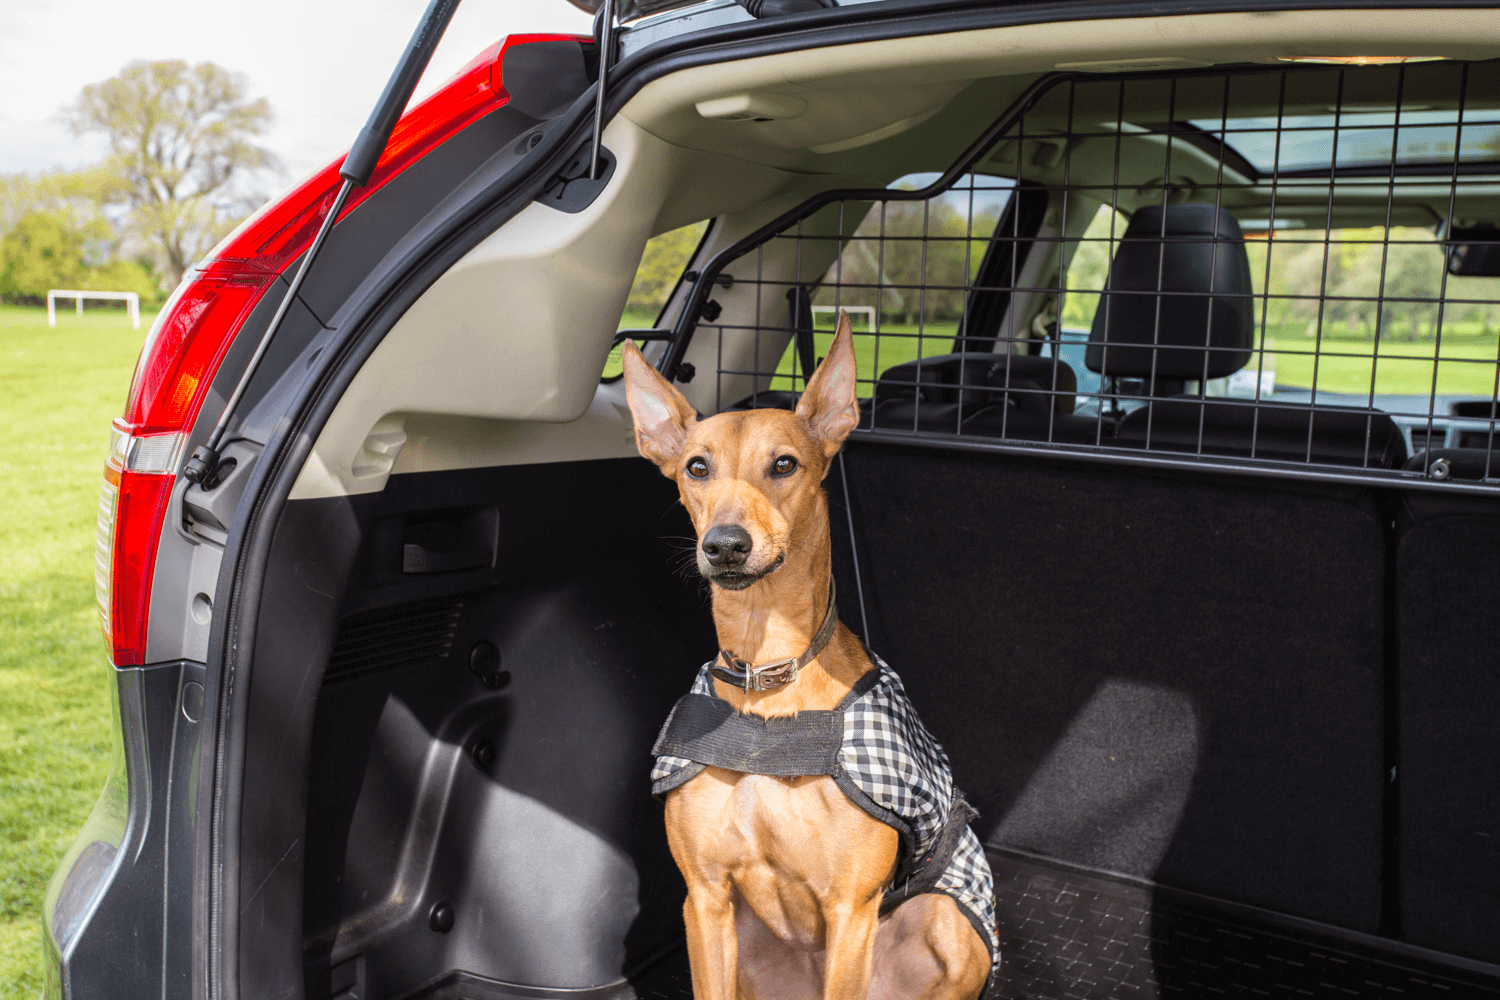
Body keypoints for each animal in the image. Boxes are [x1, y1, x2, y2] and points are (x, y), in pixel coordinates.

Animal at [621, 308, 996, 995]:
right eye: (696, 467)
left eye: (785, 464)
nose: (725, 545)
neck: (769, 674)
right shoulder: (704, 899)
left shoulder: (851, 909)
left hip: (946, 923)